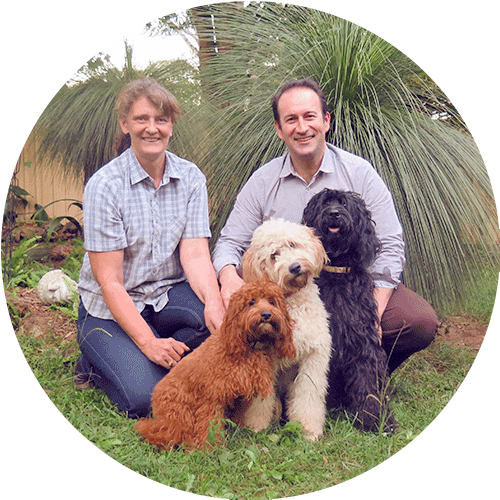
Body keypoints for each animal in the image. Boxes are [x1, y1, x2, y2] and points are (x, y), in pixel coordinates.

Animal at [135, 280, 294, 452]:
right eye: (252, 302)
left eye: (272, 302)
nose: (266, 314)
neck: (249, 348)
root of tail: (155, 399)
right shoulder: (211, 397)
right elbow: (209, 425)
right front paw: (210, 447)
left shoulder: (243, 396)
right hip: (180, 412)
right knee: (170, 433)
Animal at [239, 219, 330, 442]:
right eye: (274, 255)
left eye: (292, 244)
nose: (295, 267)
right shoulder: (264, 360)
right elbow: (261, 400)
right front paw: (256, 427)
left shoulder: (314, 357)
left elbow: (308, 395)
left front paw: (309, 429)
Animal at [300, 188, 398, 434]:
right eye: (326, 203)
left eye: (344, 204)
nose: (334, 213)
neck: (336, 271)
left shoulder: (362, 340)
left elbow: (367, 381)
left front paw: (374, 419)